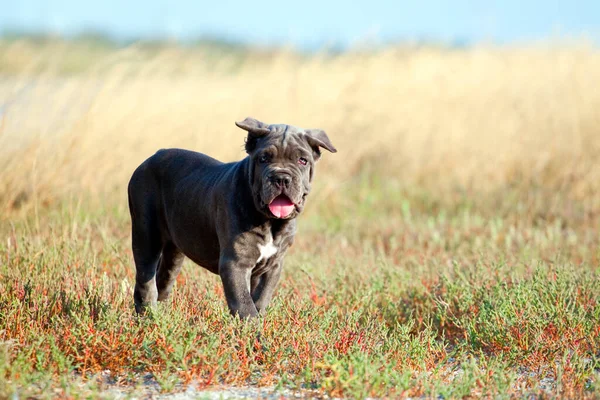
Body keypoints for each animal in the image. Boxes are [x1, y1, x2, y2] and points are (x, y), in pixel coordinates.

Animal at [127, 117, 336, 318]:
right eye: (263, 158)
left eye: (303, 160)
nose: (281, 178)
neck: (271, 222)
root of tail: (151, 158)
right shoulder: (235, 263)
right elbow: (244, 304)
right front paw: (252, 329)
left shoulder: (272, 266)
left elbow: (260, 298)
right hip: (146, 236)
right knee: (145, 281)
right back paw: (148, 318)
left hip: (174, 250)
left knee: (163, 280)